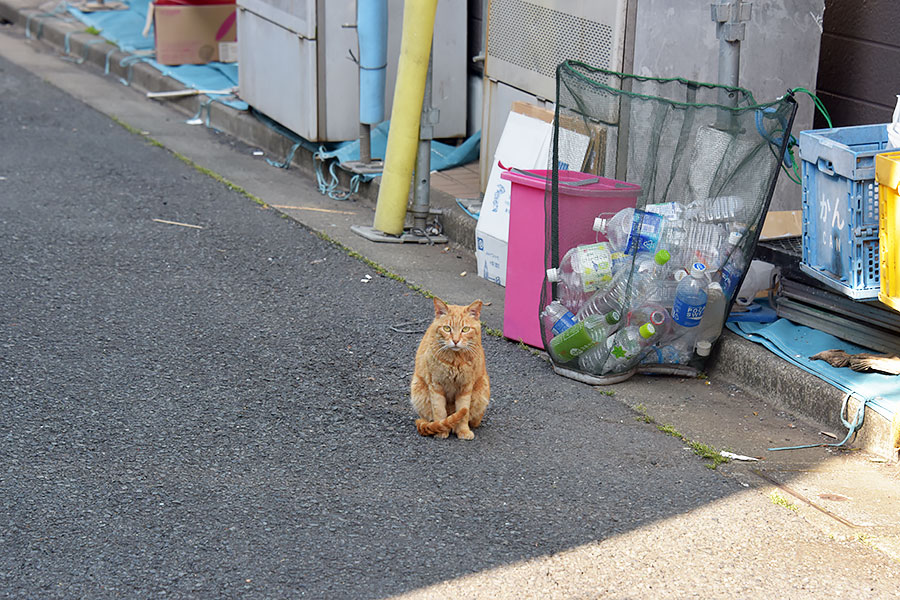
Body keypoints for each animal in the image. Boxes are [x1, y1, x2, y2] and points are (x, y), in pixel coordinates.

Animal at [414, 298, 492, 438]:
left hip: (483, 390)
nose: (455, 341)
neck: (455, 361)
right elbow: (439, 411)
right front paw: (441, 431)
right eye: (447, 328)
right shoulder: (436, 385)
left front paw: (463, 431)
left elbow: (463, 412)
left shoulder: (466, 387)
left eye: (465, 329)